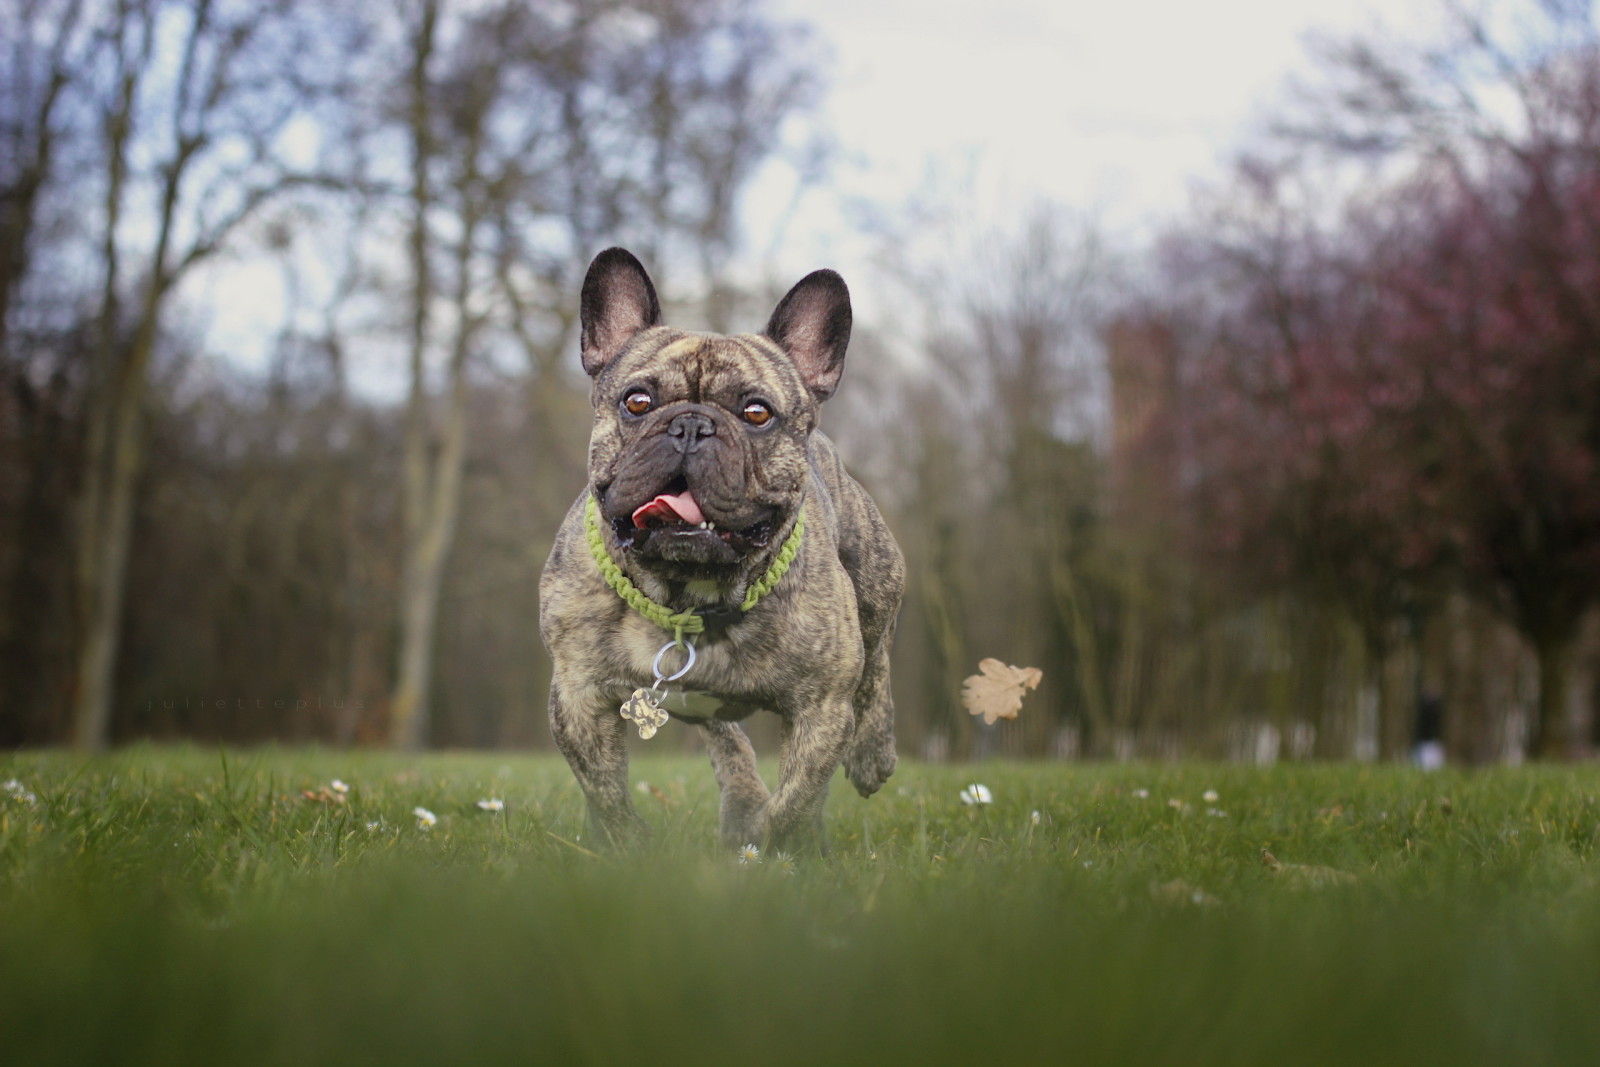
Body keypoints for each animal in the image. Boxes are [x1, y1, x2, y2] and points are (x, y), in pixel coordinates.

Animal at [544, 247, 908, 851]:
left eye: (756, 413)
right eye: (637, 402)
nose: (692, 425)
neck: (688, 596)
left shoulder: (823, 710)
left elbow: (796, 799)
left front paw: (765, 843)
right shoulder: (578, 696)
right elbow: (606, 792)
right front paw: (629, 848)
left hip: (878, 583)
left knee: (877, 664)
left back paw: (870, 755)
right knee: (726, 737)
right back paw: (740, 800)